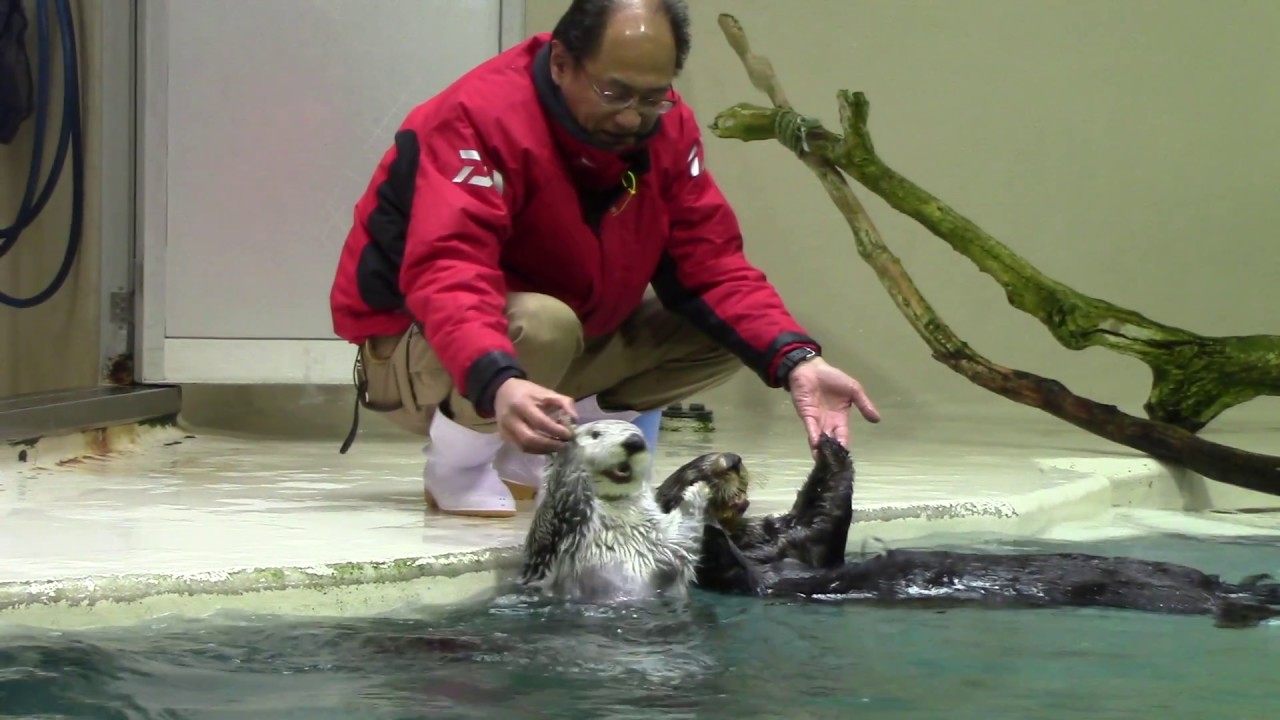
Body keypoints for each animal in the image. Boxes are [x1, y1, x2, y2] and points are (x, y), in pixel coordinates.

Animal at [518, 419, 709, 604]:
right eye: (595, 434)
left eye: (641, 435)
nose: (634, 441)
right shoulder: (552, 534)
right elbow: (562, 505)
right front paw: (569, 439)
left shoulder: (662, 543)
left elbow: (682, 539)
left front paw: (699, 488)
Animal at [655, 436, 1280, 629]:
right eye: (697, 465)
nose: (733, 460)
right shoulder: (763, 573)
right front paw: (698, 506)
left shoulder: (801, 549)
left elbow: (820, 517)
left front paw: (830, 447)